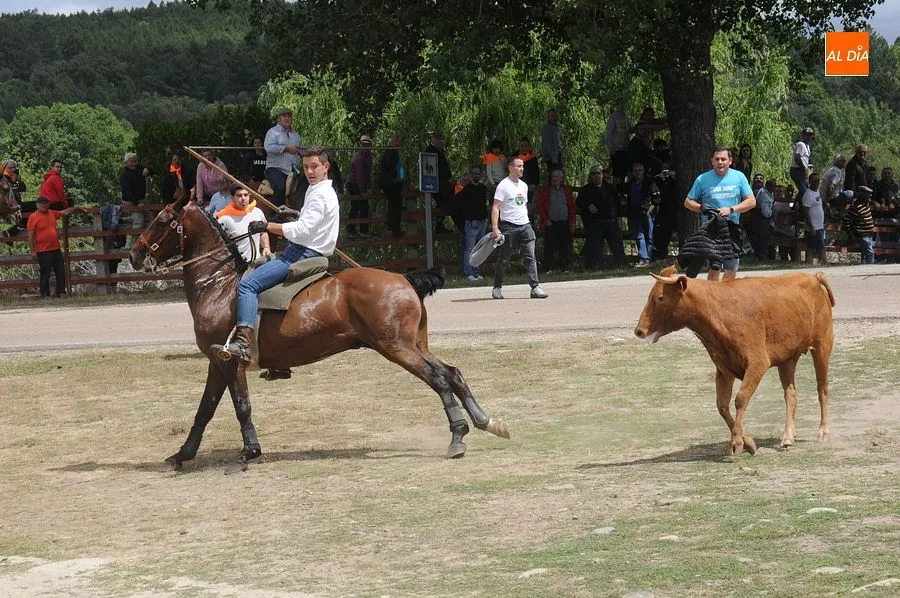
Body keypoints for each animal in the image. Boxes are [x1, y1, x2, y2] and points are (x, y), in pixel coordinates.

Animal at [128, 189, 509, 470]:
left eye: (161, 221)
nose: (132, 255)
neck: (218, 285)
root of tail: (404, 278)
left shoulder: (230, 361)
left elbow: (241, 406)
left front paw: (249, 452)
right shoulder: (215, 361)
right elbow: (205, 408)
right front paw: (182, 454)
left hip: (397, 347)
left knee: (439, 378)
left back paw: (457, 437)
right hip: (415, 344)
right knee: (453, 372)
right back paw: (487, 422)